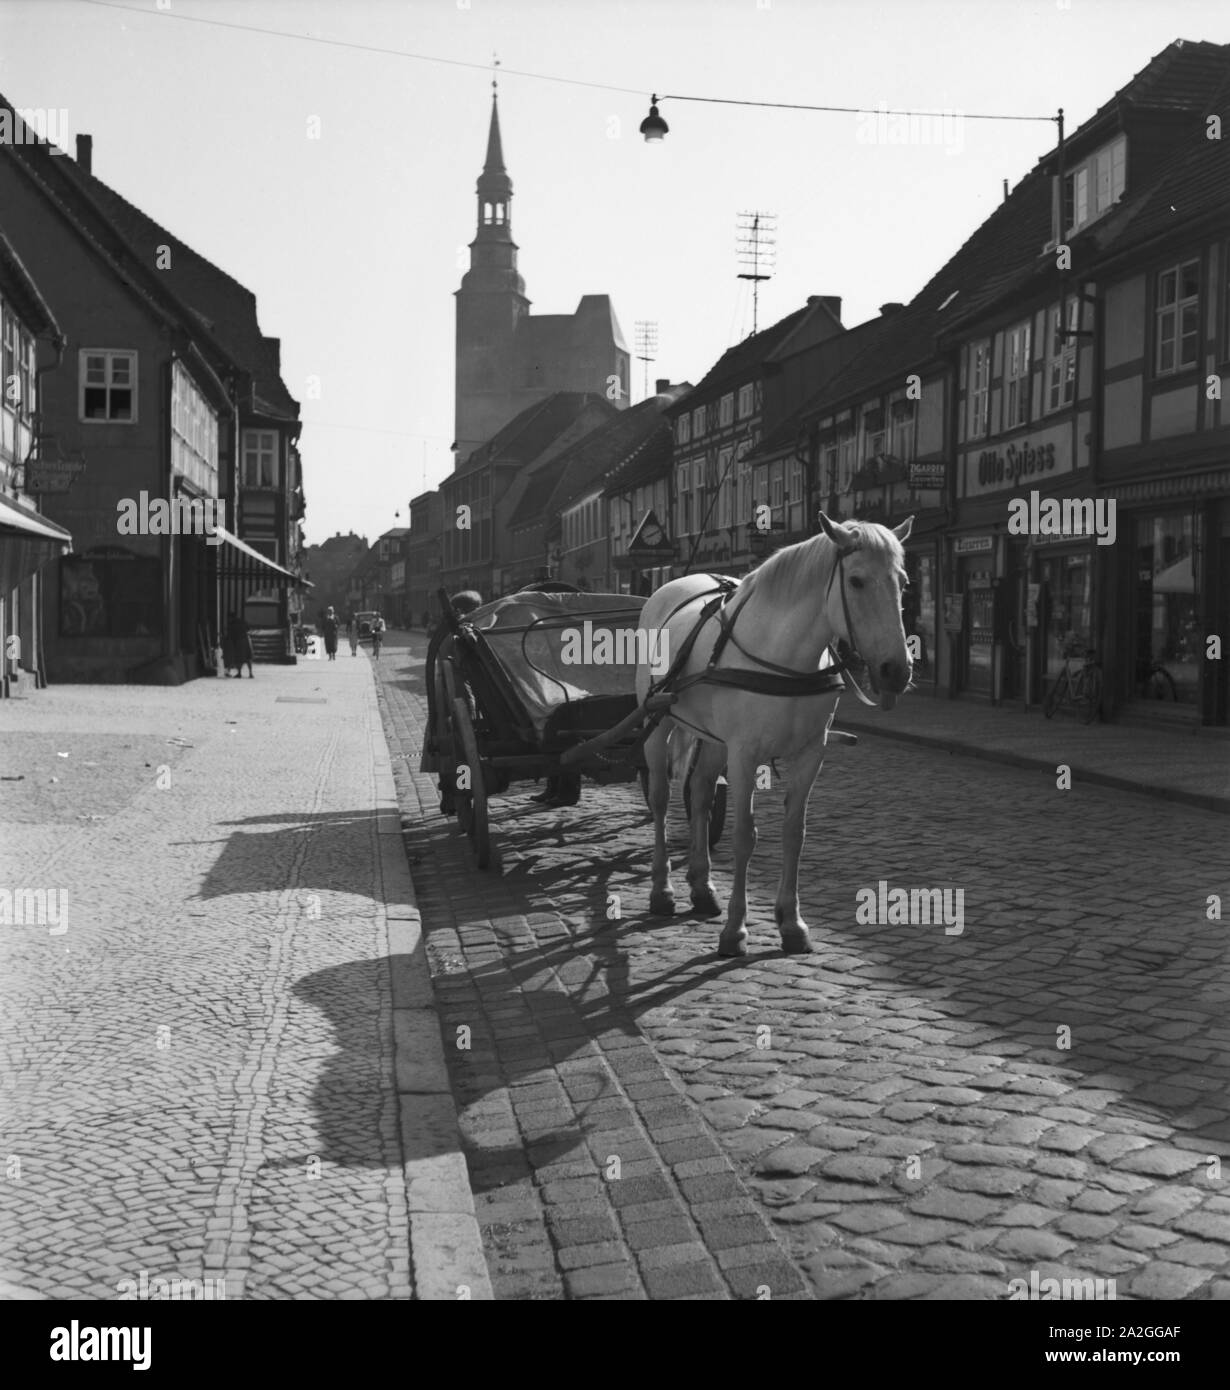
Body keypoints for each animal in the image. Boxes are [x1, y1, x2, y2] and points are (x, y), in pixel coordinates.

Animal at [633, 517, 911, 961]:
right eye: (856, 580)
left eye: (902, 582)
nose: (896, 671)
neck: (785, 658)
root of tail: (670, 586)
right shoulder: (745, 755)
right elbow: (746, 835)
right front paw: (735, 929)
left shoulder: (811, 753)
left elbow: (794, 833)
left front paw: (791, 923)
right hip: (657, 723)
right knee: (660, 799)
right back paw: (662, 889)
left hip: (714, 740)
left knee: (701, 794)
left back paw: (702, 885)